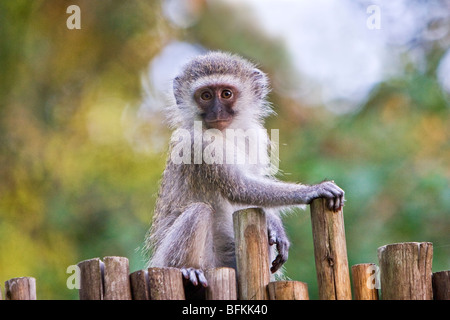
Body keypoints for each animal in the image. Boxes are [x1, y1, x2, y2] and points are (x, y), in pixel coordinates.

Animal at [146, 51, 346, 286]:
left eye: (226, 94)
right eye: (205, 96)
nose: (217, 111)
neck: (226, 132)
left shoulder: (255, 135)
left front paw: (274, 224)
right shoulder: (199, 143)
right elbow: (239, 188)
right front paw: (313, 190)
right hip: (168, 259)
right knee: (199, 210)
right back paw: (188, 268)